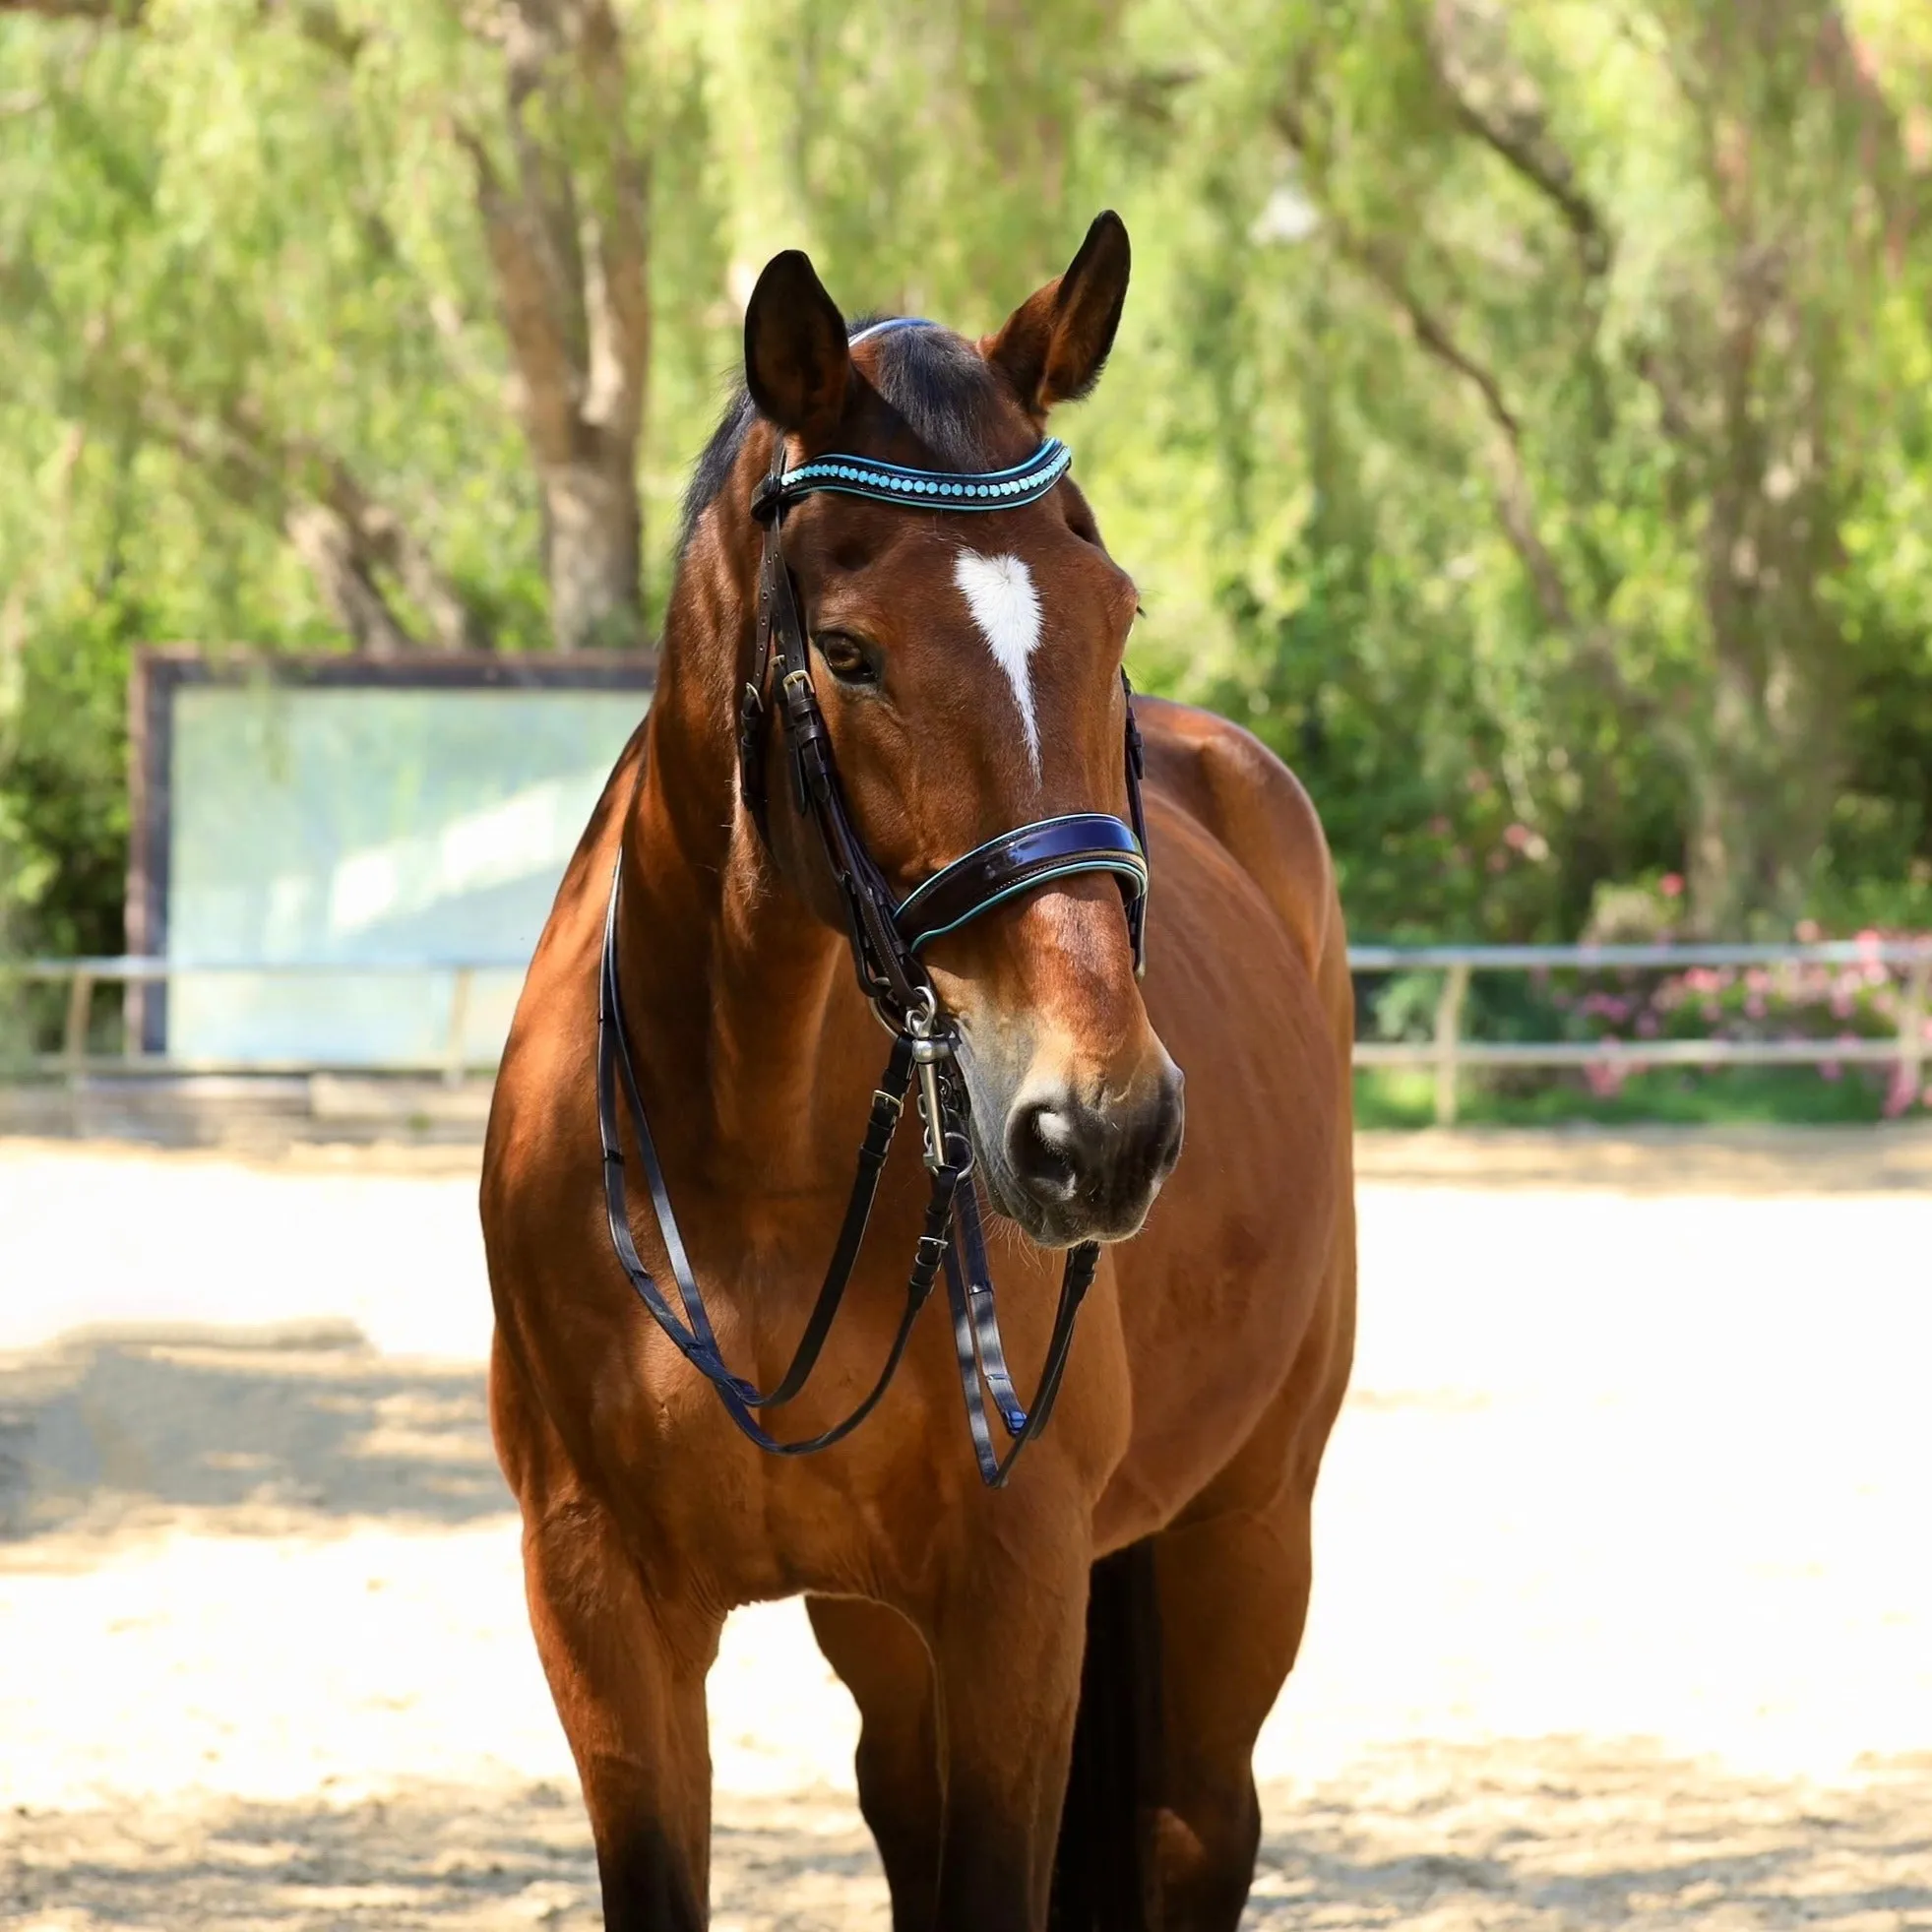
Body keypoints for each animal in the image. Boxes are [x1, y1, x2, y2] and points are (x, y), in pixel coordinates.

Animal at [482, 211, 1359, 1932]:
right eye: (847, 651)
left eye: (1114, 614)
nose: (1099, 1127)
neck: (748, 1148)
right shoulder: (601, 1612)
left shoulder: (1013, 1595)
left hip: (1242, 1527)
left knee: (1194, 1824)